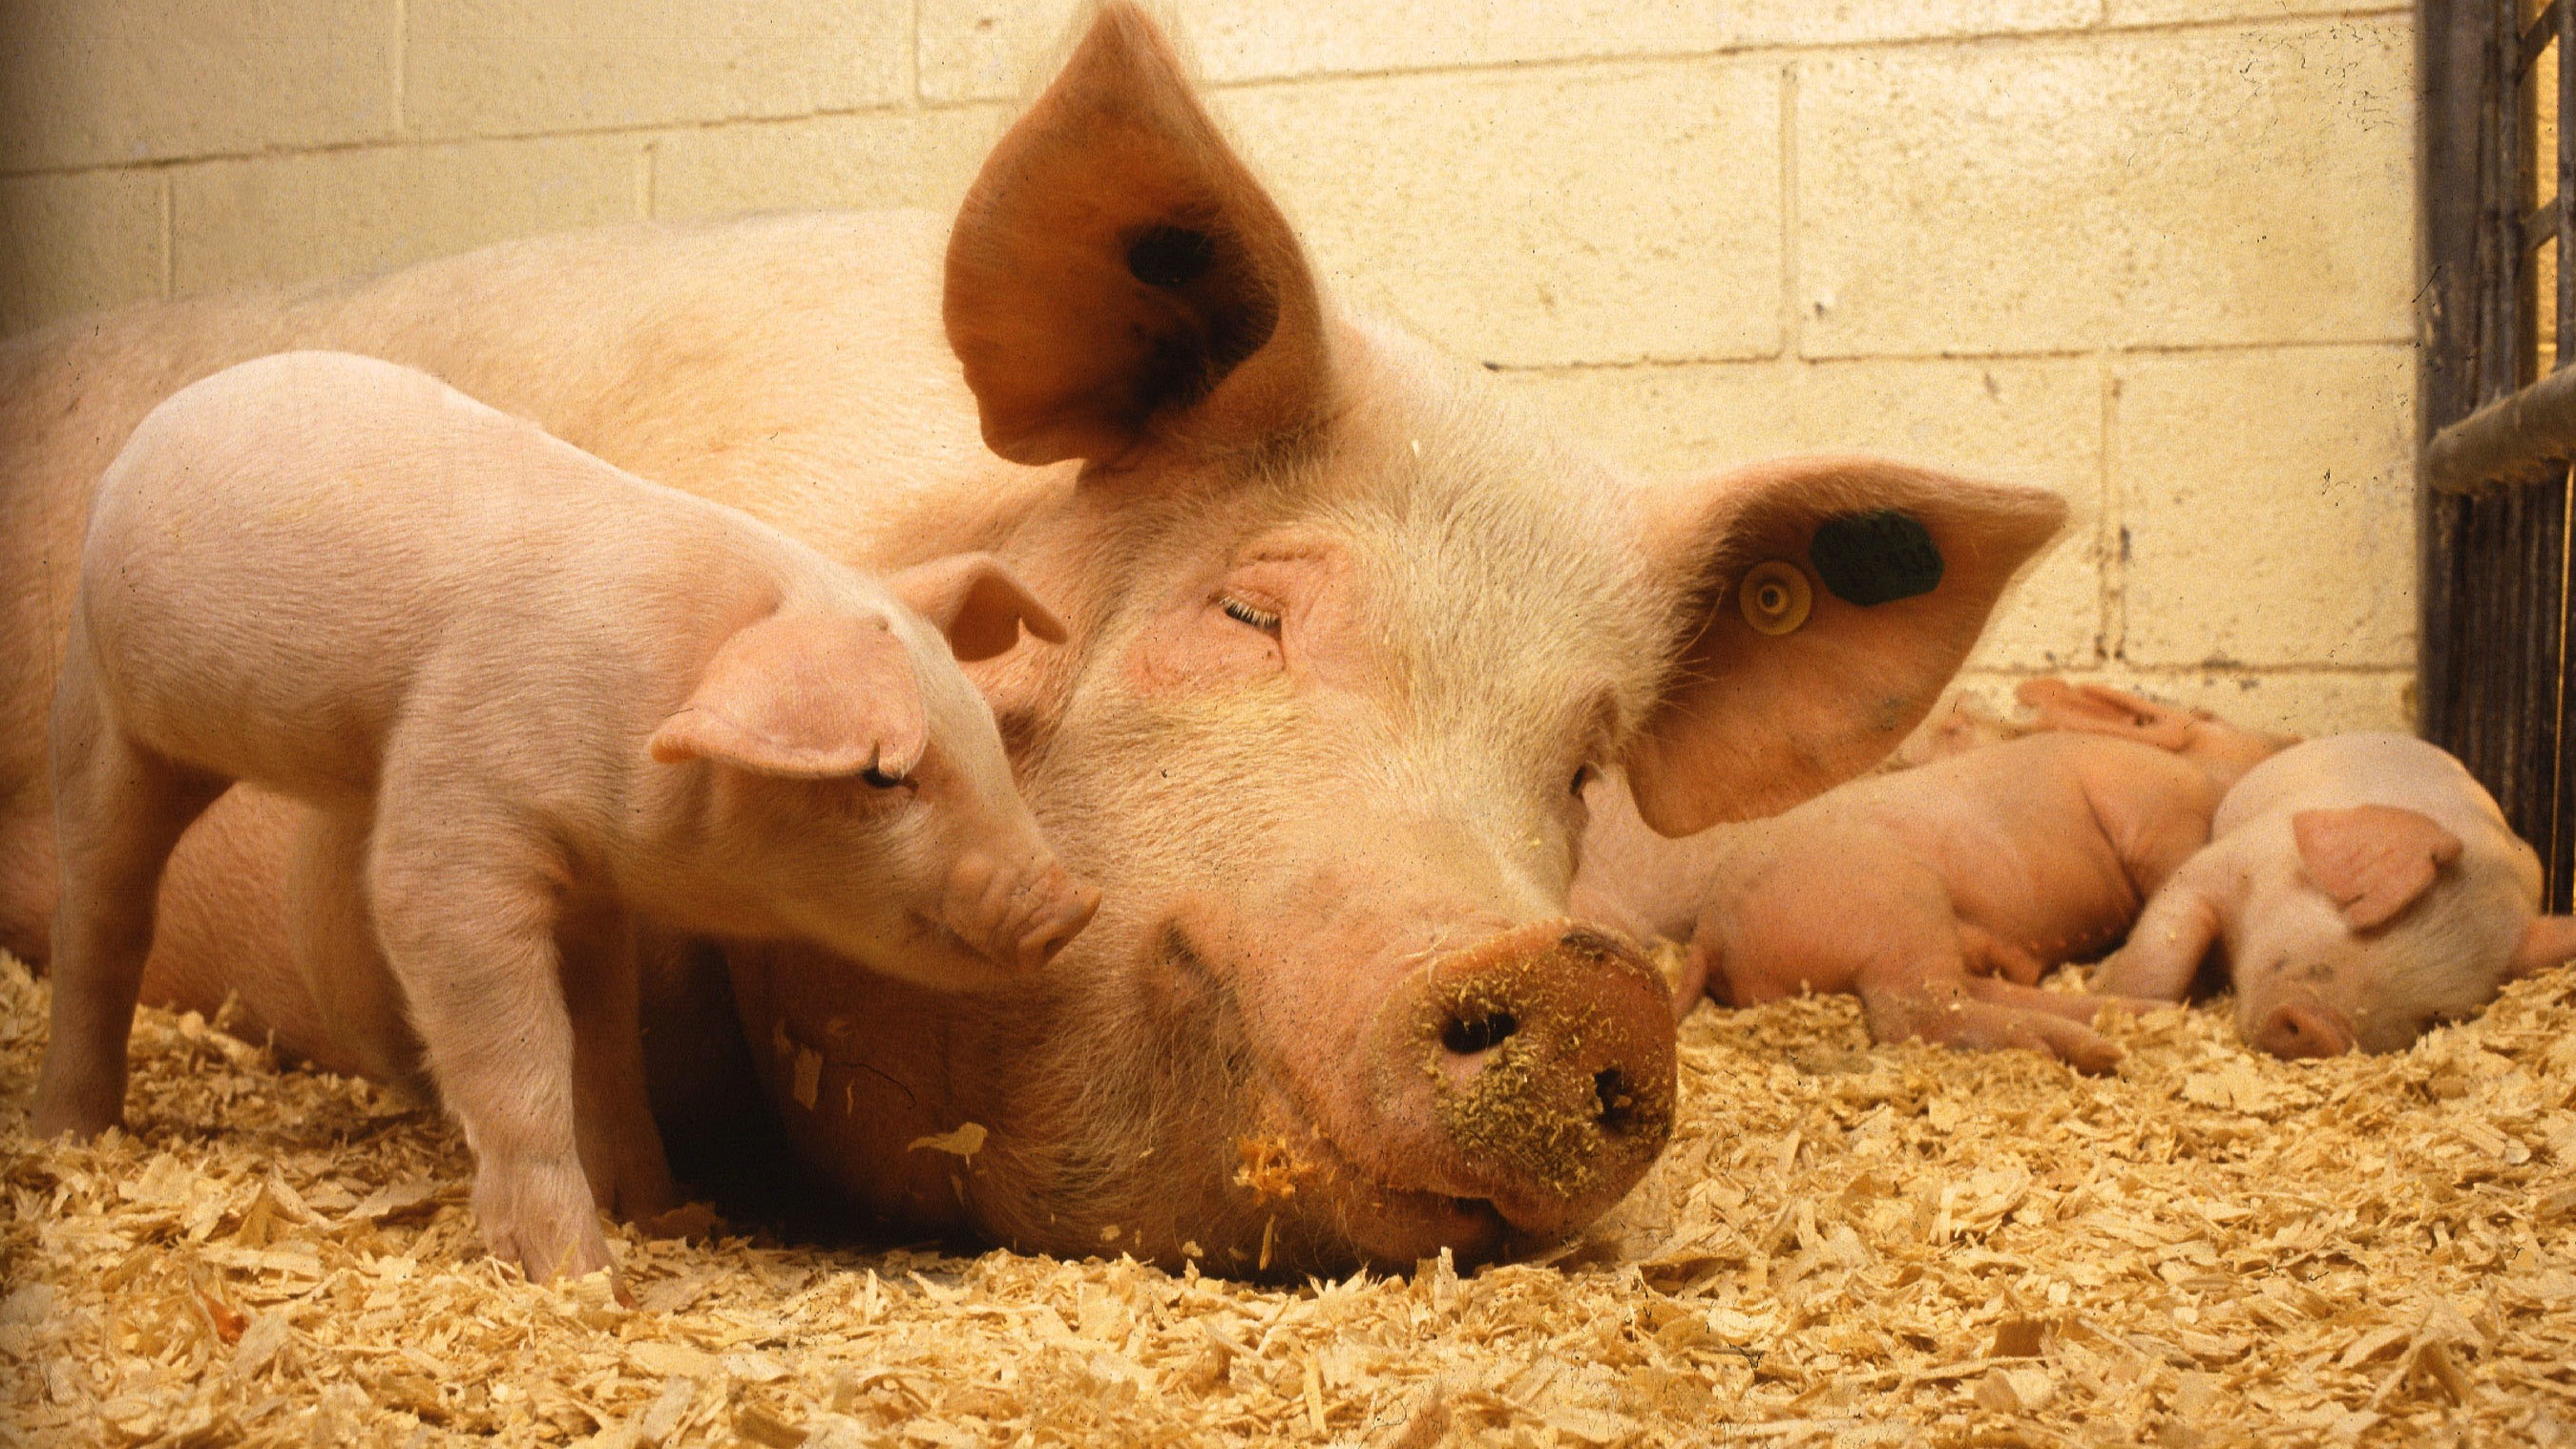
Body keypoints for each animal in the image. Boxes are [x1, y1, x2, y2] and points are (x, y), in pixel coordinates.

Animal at [28, 351, 1098, 1284]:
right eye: (881, 776)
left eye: (984, 733)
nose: (1072, 903)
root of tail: (157, 425)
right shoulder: (455, 807)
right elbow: (513, 1046)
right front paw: (582, 1275)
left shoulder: (590, 887)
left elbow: (607, 1048)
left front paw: (664, 1214)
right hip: (104, 708)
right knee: (101, 911)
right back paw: (69, 1132)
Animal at [1586, 730, 2232, 1073]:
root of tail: (1711, 931)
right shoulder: (2157, 821)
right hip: (1900, 902)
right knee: (1915, 1013)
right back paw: (2090, 1048)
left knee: (1967, 992)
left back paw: (2121, 1024)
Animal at [2092, 733, 2576, 1057]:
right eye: (2365, 919)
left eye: (2433, 1016)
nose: (2319, 1029)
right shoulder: (2221, 863)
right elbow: (2165, 953)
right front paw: (2119, 997)